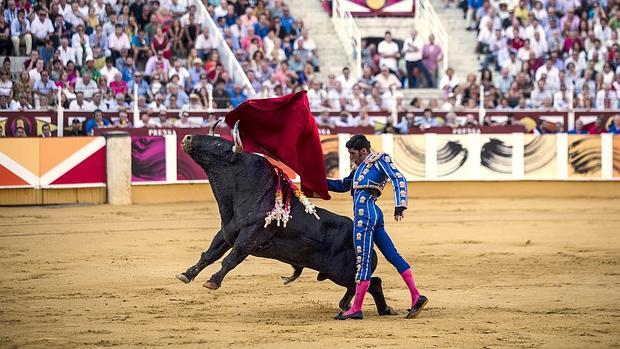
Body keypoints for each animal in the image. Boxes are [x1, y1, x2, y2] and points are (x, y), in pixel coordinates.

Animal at [177, 131, 394, 316]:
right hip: (337, 273)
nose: (187, 138)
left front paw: (213, 282)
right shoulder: (226, 233)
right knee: (360, 285)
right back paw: (348, 307)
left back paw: (382, 309)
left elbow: (231, 258)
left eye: (218, 143)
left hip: (342, 271)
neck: (251, 193)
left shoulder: (250, 236)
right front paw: (187, 274)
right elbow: (210, 254)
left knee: (372, 282)